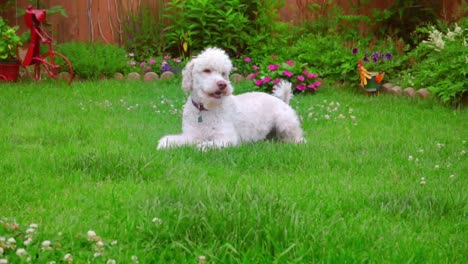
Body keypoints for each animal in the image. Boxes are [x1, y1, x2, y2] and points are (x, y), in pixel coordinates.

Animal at [157, 48, 304, 151]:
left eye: (223, 73)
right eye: (206, 70)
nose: (222, 84)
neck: (205, 110)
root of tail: (283, 101)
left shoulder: (227, 137)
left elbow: (206, 145)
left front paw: (201, 147)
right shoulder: (191, 135)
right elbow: (171, 140)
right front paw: (164, 144)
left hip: (285, 123)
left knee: (299, 138)